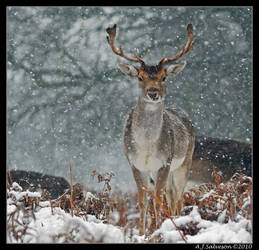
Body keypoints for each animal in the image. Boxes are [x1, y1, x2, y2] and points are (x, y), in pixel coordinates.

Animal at [106, 23, 196, 234]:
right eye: (140, 77)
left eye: (163, 77)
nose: (153, 92)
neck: (147, 145)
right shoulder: (135, 164)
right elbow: (143, 201)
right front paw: (141, 233)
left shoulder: (164, 162)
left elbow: (157, 201)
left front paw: (157, 230)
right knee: (170, 195)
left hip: (185, 161)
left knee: (177, 197)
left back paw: (177, 219)